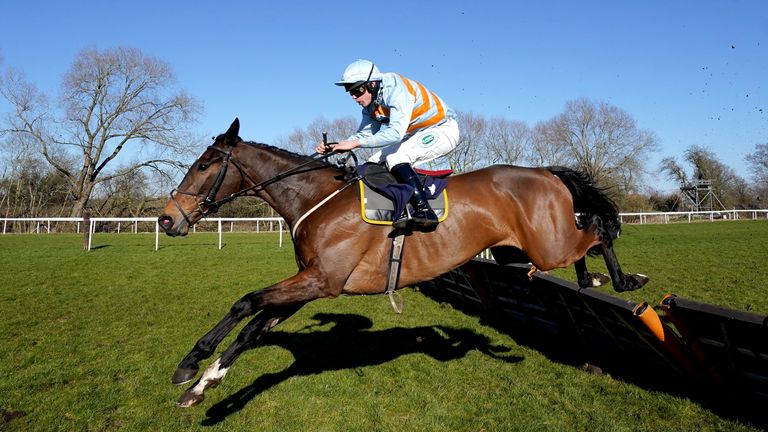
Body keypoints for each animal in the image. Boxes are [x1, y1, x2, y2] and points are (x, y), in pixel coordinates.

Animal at [156, 116, 648, 406]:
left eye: (203, 165)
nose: (166, 219)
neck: (315, 198)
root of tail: (545, 171)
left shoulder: (322, 280)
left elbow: (245, 302)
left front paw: (191, 362)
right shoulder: (309, 281)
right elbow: (253, 325)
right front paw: (204, 382)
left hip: (549, 244)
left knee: (598, 227)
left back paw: (624, 280)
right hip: (520, 252)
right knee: (586, 239)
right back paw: (593, 279)